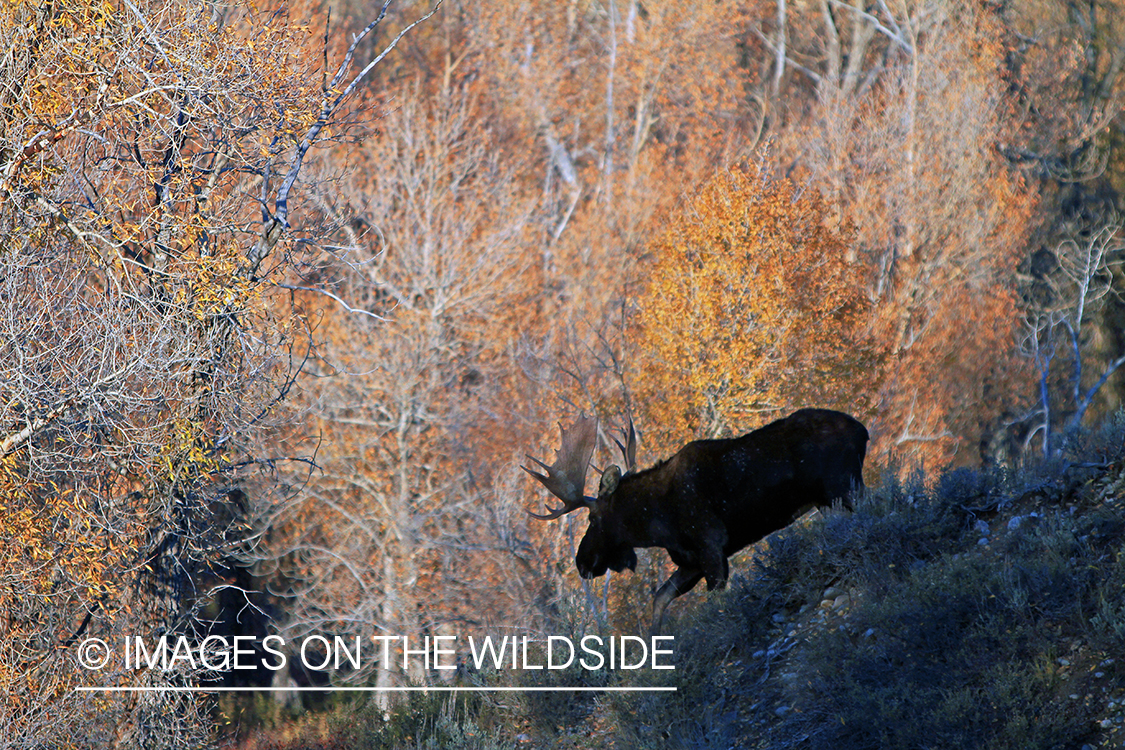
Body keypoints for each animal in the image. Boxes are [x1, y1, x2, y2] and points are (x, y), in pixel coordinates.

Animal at [524, 407, 868, 629]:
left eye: (593, 520)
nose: (581, 562)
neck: (656, 522)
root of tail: (861, 430)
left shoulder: (711, 546)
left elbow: (714, 602)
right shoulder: (690, 562)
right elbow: (660, 599)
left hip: (843, 487)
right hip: (829, 500)